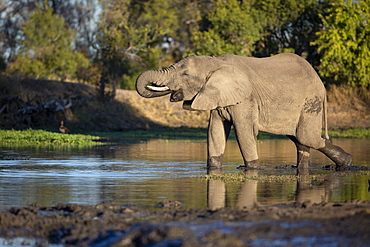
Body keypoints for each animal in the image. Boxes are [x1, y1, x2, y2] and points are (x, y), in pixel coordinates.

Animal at [136, 53, 352, 170]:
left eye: (185, 74)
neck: (216, 62)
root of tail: (319, 80)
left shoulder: (245, 99)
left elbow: (243, 132)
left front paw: (252, 169)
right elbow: (215, 132)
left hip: (310, 101)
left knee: (306, 136)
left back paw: (347, 162)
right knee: (299, 139)